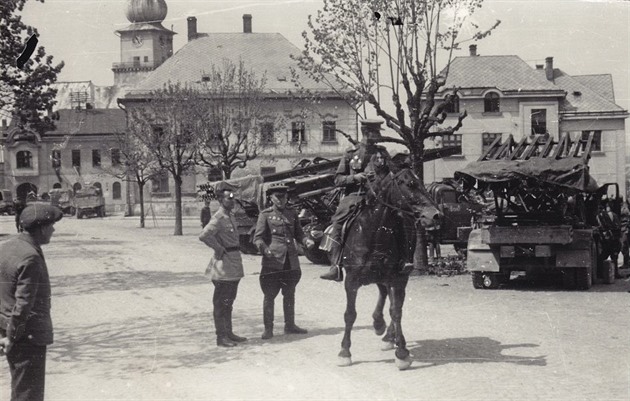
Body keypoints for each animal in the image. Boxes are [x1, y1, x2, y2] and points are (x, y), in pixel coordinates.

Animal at [334, 166, 442, 368]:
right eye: (410, 184)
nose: (436, 215)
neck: (374, 233)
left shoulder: (397, 278)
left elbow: (396, 311)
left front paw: (402, 352)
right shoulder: (351, 281)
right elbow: (350, 314)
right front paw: (344, 352)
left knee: (391, 300)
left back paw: (386, 334)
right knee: (383, 294)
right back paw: (379, 325)